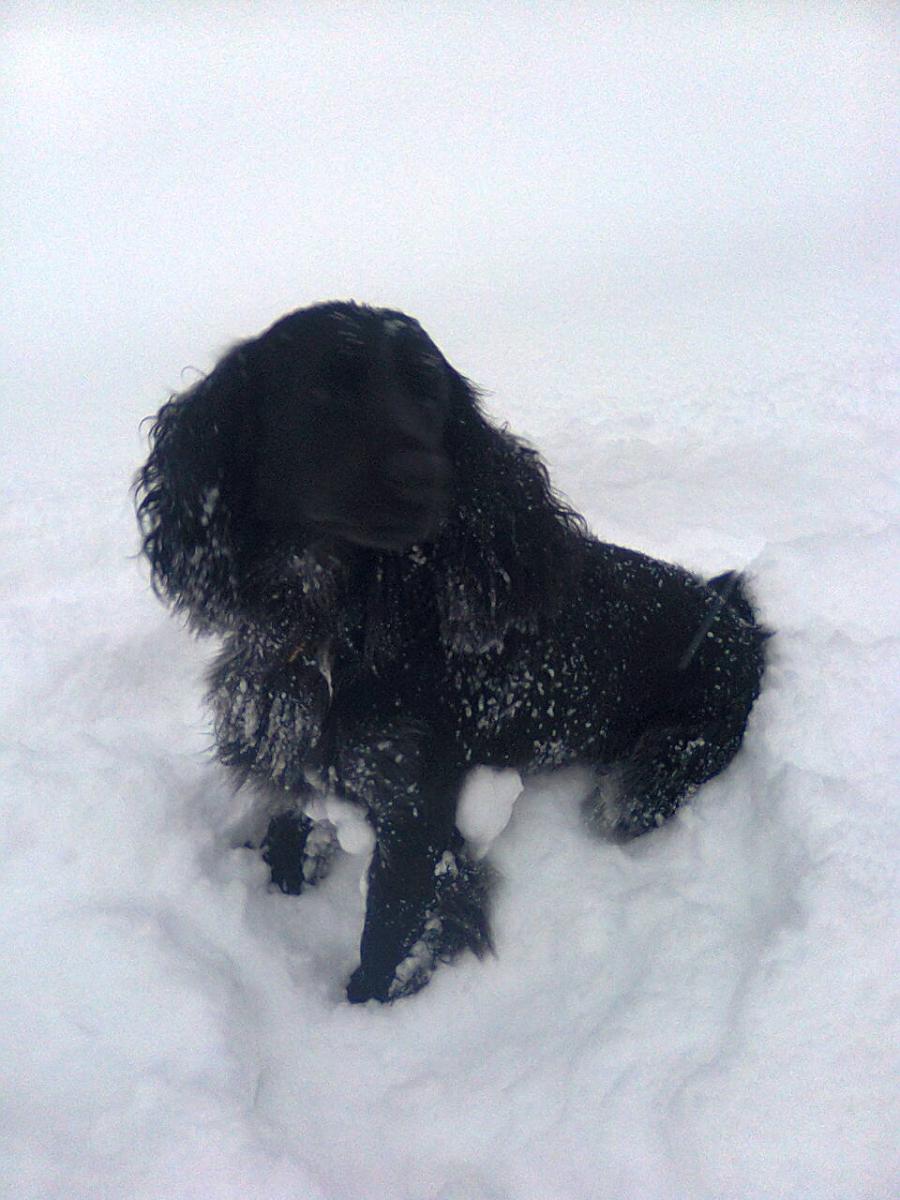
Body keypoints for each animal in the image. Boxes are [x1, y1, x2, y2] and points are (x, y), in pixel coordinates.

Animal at [136, 301, 767, 1003]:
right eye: (324, 390)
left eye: (430, 394)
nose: (430, 478)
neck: (336, 622)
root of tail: (736, 619)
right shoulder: (298, 746)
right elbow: (290, 829)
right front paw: (282, 882)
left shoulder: (415, 807)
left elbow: (390, 930)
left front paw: (368, 1009)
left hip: (659, 767)